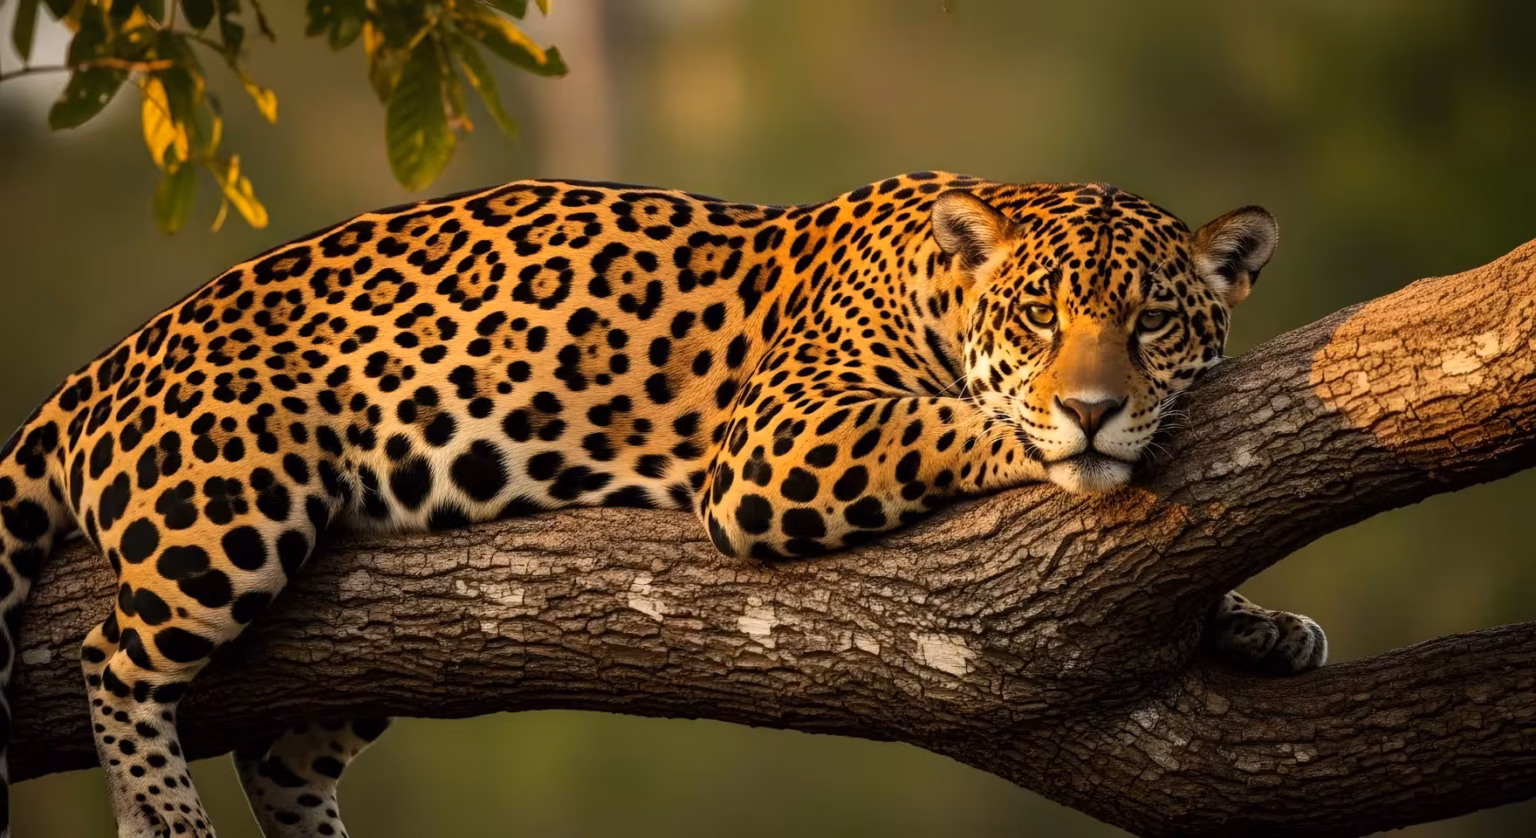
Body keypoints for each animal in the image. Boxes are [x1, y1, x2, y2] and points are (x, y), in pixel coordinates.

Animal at [0, 171, 1326, 837]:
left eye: (1152, 322)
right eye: (1042, 317)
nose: (1097, 405)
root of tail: (93, 373)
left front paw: (1260, 624)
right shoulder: (785, 437)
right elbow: (968, 422)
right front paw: (1067, 442)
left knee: (279, 756)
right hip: (236, 503)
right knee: (115, 655)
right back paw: (161, 817)